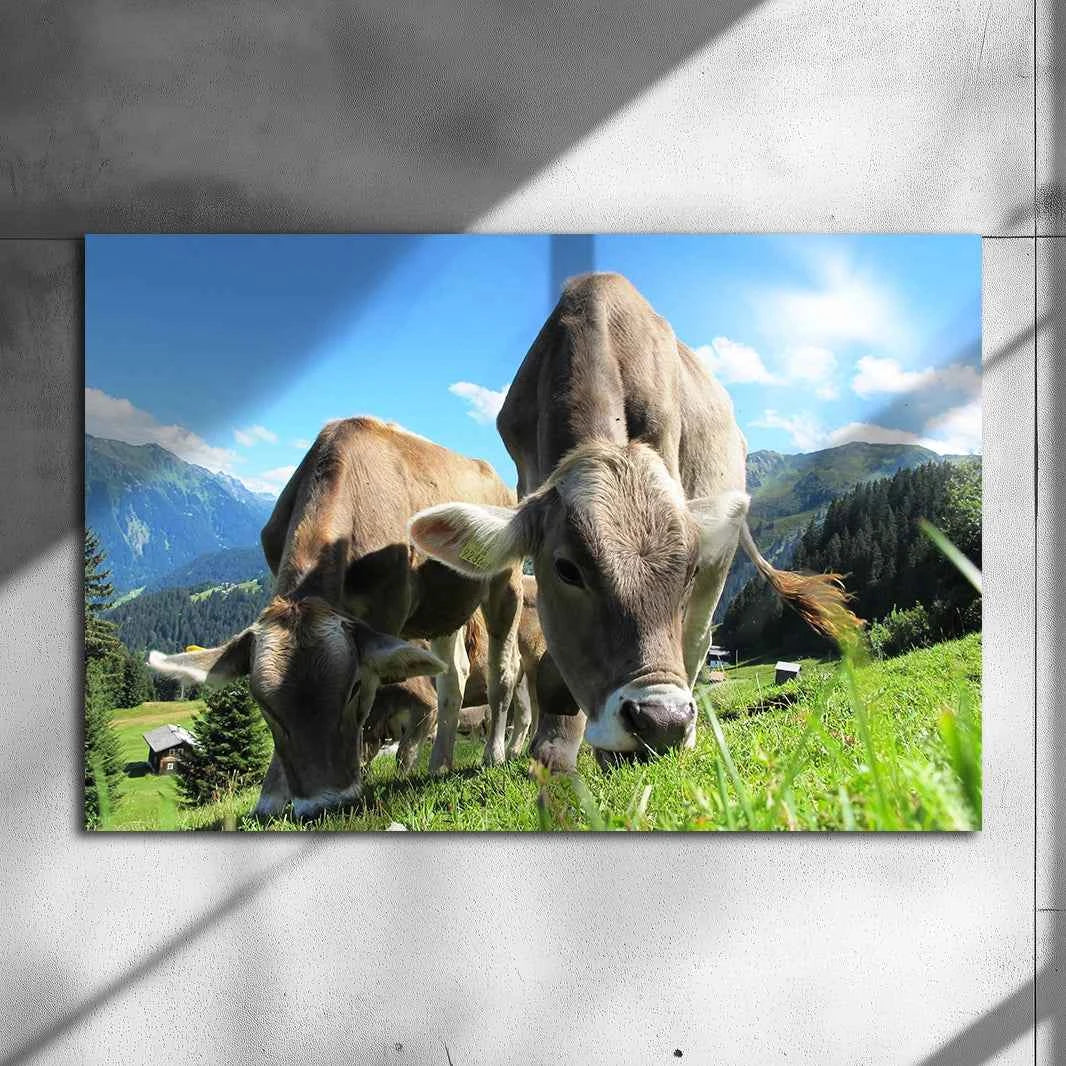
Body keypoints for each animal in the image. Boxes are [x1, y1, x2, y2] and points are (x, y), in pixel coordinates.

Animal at [148, 416, 523, 819]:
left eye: (353, 688)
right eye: (264, 705)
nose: (324, 805)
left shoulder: (386, 614)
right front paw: (271, 797)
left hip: (506, 582)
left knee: (504, 670)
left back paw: (495, 754)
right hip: (444, 607)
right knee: (454, 675)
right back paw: (439, 763)